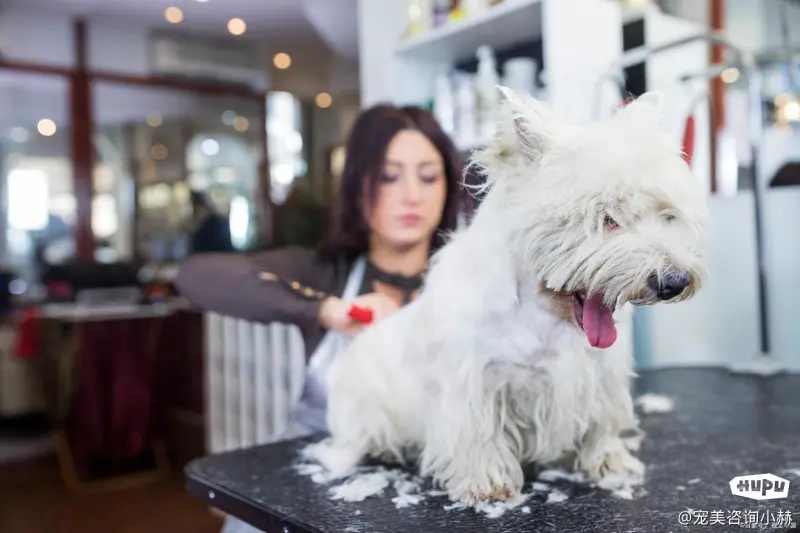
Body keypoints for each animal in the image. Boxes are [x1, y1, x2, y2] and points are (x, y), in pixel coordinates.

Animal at [316, 86, 708, 502]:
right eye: (607, 218)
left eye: (666, 214)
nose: (675, 281)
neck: (544, 313)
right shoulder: (473, 381)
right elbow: (479, 433)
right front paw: (487, 483)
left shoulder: (597, 375)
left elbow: (601, 423)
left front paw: (610, 463)